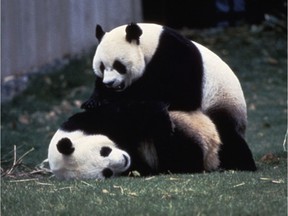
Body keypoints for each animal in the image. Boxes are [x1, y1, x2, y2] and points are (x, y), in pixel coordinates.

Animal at [46, 102, 252, 180]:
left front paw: (161, 121)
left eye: (104, 151)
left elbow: (131, 115)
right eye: (107, 172)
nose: (123, 161)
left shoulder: (91, 121)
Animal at [81, 23, 256, 172]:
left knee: (229, 135)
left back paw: (241, 164)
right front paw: (94, 101)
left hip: (223, 101)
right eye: (102, 67)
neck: (149, 44)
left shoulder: (175, 55)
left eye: (118, 65)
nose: (110, 83)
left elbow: (181, 95)